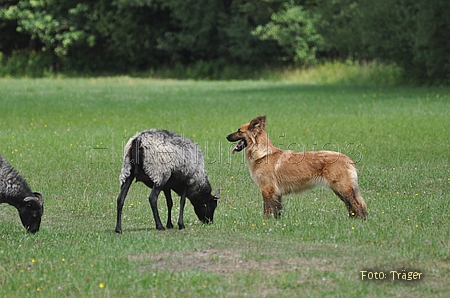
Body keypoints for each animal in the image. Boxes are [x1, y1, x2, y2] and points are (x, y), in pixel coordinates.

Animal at [227, 115, 368, 220]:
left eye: (239, 131)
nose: (226, 136)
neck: (263, 153)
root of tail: (347, 159)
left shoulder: (267, 189)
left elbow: (267, 209)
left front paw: (264, 222)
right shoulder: (276, 192)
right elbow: (277, 210)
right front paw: (276, 223)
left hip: (343, 188)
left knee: (357, 205)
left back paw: (360, 222)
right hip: (339, 190)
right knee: (351, 206)